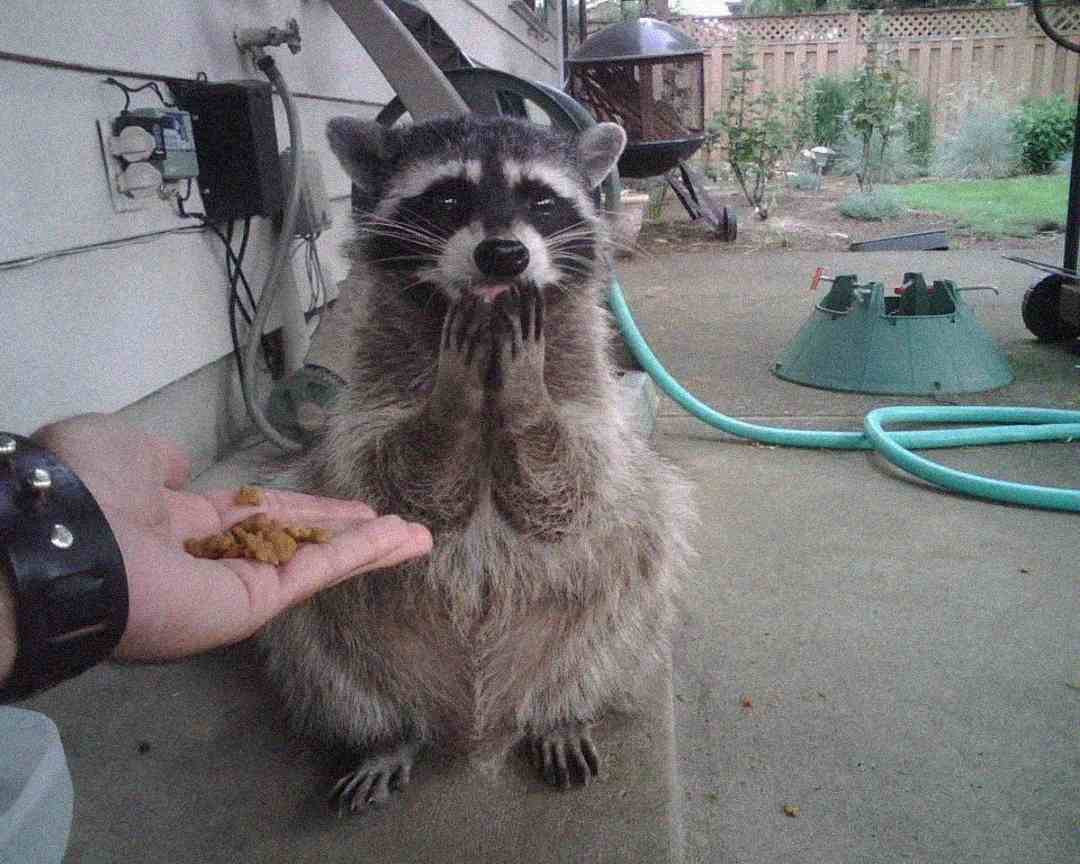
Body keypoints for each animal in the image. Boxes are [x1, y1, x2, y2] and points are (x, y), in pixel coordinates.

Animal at [261, 114, 693, 813]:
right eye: (447, 198)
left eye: (541, 200)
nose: (504, 255)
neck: (490, 337)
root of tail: (476, 723)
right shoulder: (370, 400)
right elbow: (399, 491)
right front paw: (451, 403)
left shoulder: (587, 393)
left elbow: (571, 491)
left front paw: (526, 400)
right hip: (345, 641)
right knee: (312, 635)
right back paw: (384, 734)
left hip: (606, 625)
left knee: (637, 571)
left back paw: (562, 713)